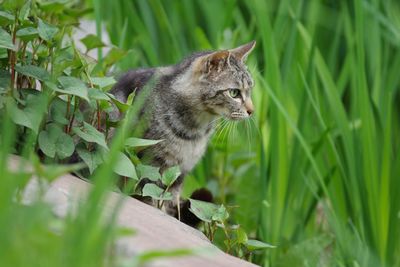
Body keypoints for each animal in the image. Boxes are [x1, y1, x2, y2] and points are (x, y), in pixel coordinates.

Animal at [109, 40, 256, 221]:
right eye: (234, 93)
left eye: (250, 91)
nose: (252, 110)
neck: (195, 131)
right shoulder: (148, 164)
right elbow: (151, 196)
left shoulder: (180, 172)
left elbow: (170, 199)